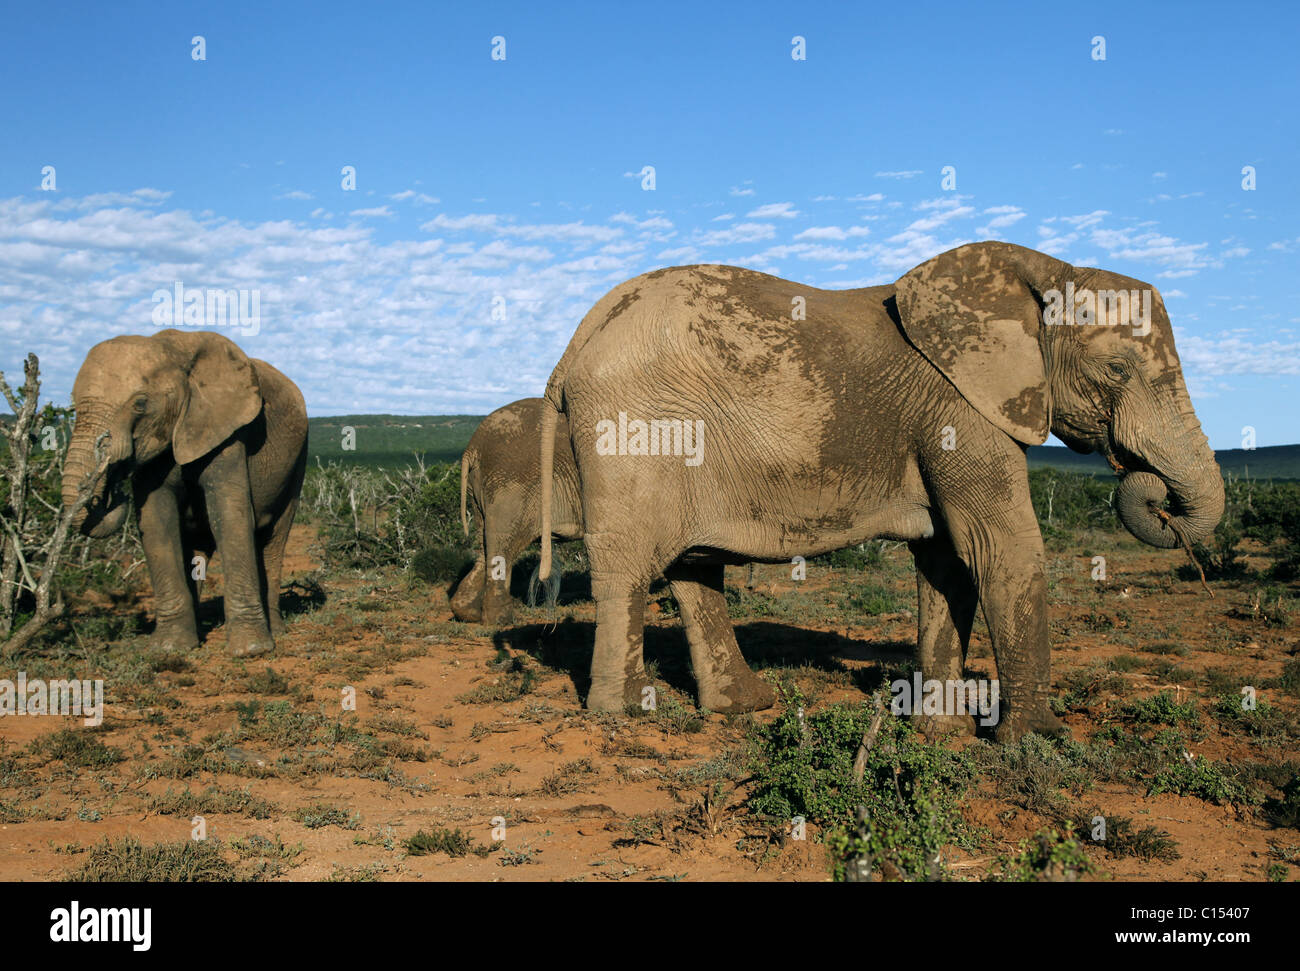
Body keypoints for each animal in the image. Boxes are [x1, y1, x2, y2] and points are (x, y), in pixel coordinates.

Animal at [62, 330, 308, 657]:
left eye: (140, 404)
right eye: (74, 407)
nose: (114, 489)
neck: (171, 351)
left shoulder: (227, 428)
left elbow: (230, 514)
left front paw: (251, 650)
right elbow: (156, 522)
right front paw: (169, 649)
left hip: (298, 459)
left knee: (273, 537)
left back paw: (276, 632)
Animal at [452, 397, 585, 626]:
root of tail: (474, 448)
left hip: (481, 493)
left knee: (484, 547)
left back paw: (468, 613)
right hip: (512, 488)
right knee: (502, 545)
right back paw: (501, 619)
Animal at [540, 244, 1227, 743]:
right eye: (1116, 370)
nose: (1152, 492)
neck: (1043, 270)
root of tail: (572, 347)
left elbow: (949, 564)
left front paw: (939, 731)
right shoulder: (961, 408)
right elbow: (1001, 549)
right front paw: (1037, 740)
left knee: (693, 566)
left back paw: (745, 707)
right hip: (634, 430)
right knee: (630, 567)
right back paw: (627, 714)